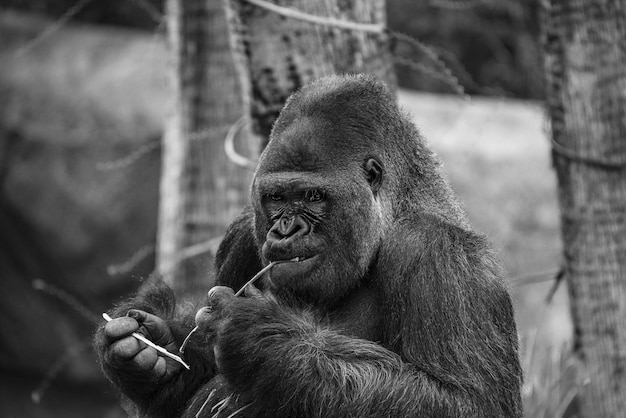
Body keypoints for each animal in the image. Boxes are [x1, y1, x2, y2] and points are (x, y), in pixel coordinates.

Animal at [94, 73, 520, 416]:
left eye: (313, 196)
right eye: (277, 197)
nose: (285, 231)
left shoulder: (440, 254)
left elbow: (463, 401)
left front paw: (260, 339)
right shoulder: (242, 235)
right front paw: (149, 350)